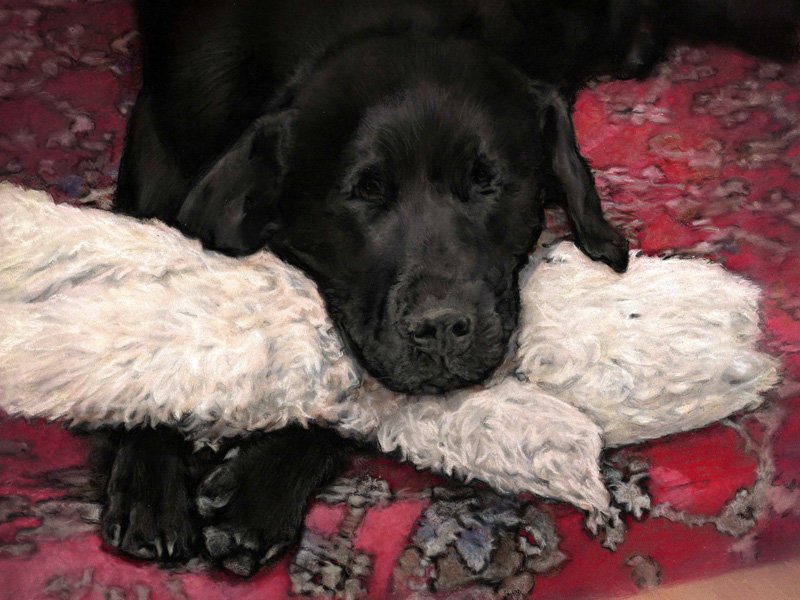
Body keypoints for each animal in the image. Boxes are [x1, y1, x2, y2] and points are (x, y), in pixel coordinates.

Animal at [104, 0, 800, 576]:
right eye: (365, 192)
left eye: (488, 182)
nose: (442, 328)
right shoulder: (157, 139)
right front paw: (149, 478)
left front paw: (257, 490)